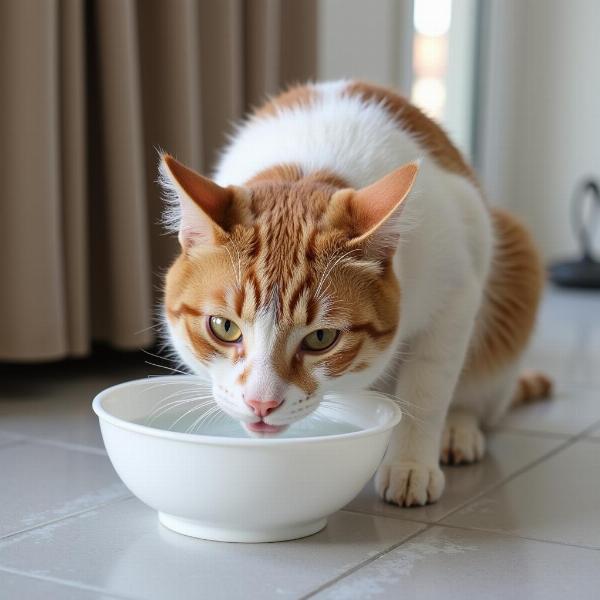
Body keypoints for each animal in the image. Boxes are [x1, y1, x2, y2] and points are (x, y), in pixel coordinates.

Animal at [157, 81, 552, 506]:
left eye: (321, 338)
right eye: (223, 327)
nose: (262, 404)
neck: (309, 162)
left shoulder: (456, 291)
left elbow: (427, 388)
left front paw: (411, 463)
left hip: (511, 260)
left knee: (476, 394)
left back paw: (457, 430)